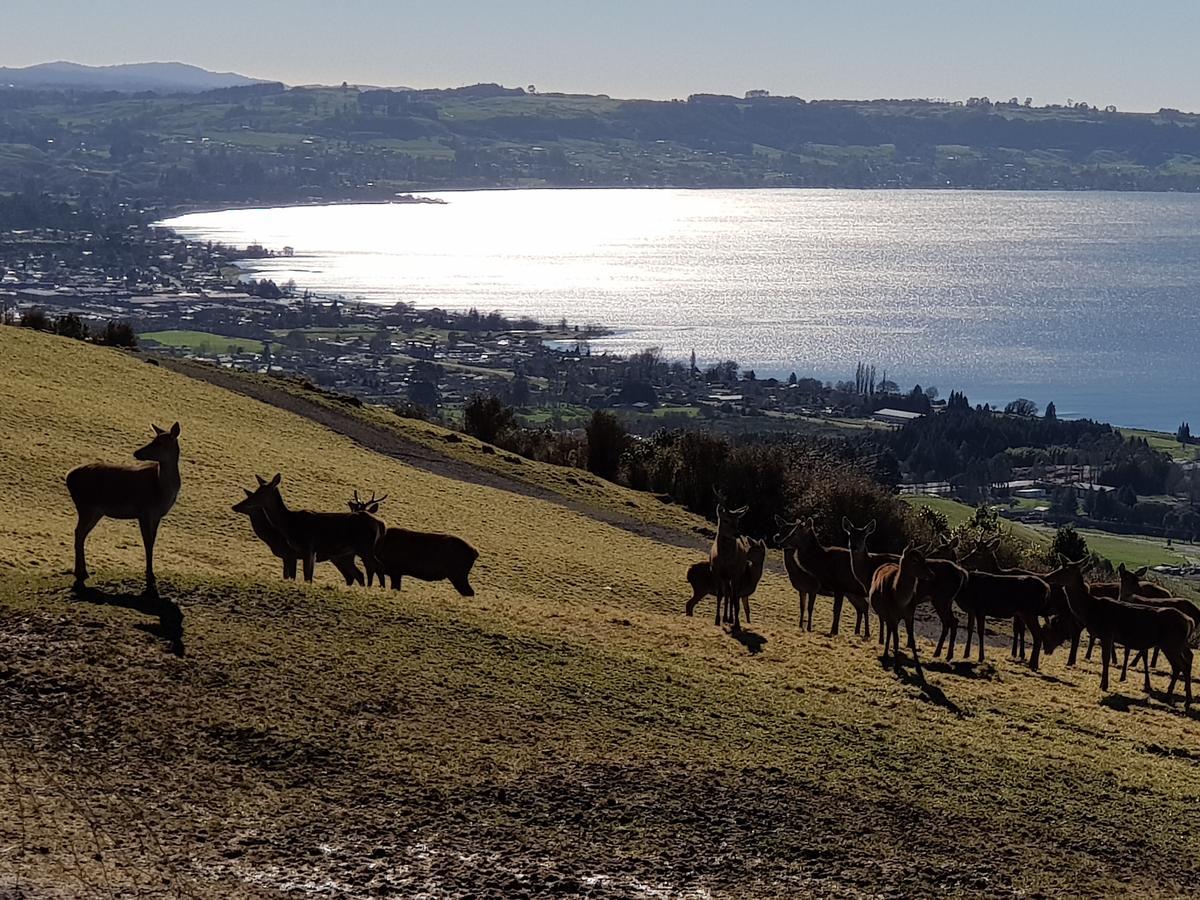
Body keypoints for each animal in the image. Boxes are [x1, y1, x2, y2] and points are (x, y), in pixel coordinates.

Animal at [66, 422, 180, 600]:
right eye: (153, 439)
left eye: (160, 442)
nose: (137, 452)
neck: (160, 489)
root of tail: (67, 476)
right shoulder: (143, 511)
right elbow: (147, 543)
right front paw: (150, 579)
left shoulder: (156, 516)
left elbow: (152, 542)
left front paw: (152, 577)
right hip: (86, 506)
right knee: (78, 532)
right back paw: (81, 573)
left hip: (95, 511)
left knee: (81, 533)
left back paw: (83, 572)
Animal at [230, 475, 384, 588]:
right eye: (256, 491)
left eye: (261, 493)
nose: (235, 506)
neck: (290, 524)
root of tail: (379, 523)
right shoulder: (304, 552)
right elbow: (303, 577)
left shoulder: (306, 548)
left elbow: (305, 576)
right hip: (347, 554)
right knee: (361, 573)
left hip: (364, 547)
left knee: (375, 566)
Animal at [873, 547, 936, 681]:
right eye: (914, 560)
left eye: (924, 558)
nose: (931, 574)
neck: (901, 601)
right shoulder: (892, 615)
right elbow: (896, 639)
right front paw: (897, 667)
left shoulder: (909, 615)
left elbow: (911, 639)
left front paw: (919, 670)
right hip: (884, 614)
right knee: (889, 631)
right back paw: (885, 655)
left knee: (889, 630)